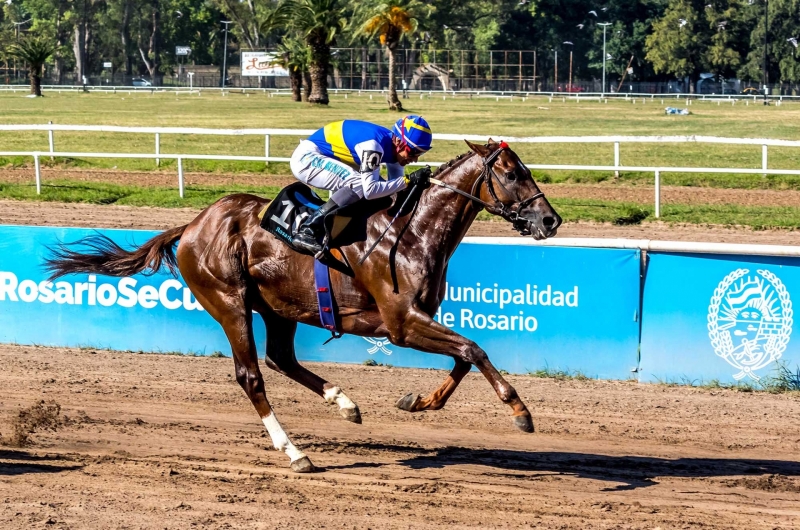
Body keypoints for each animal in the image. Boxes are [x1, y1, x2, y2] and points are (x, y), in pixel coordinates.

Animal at [47, 139, 564, 470]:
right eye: (512, 174)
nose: (550, 220)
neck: (412, 232)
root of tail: (192, 225)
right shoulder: (401, 323)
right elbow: (473, 349)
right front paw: (521, 412)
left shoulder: (417, 320)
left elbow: (462, 358)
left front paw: (419, 401)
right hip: (229, 302)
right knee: (252, 375)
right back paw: (295, 452)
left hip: (281, 308)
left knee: (282, 358)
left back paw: (344, 403)